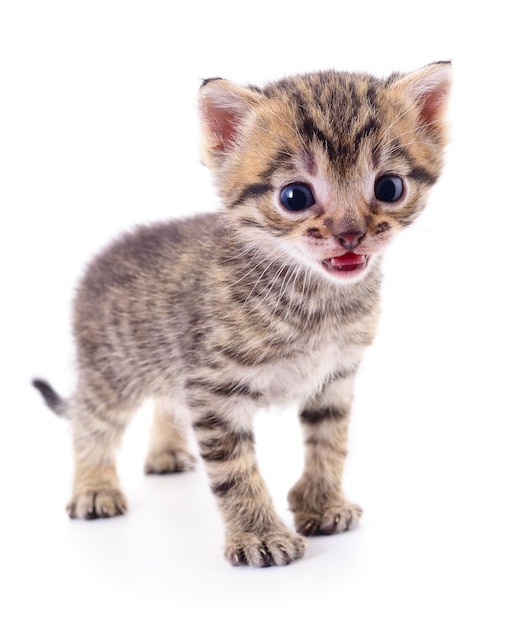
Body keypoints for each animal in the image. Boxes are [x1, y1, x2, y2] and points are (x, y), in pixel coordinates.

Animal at [33, 62, 450, 564]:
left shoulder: (336, 376)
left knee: (165, 402)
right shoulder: (214, 390)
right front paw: (260, 535)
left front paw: (322, 503)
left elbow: (329, 441)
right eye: (294, 197)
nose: (350, 235)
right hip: (110, 369)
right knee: (91, 422)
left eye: (389, 187)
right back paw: (94, 488)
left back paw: (165, 454)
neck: (318, 299)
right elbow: (235, 470)